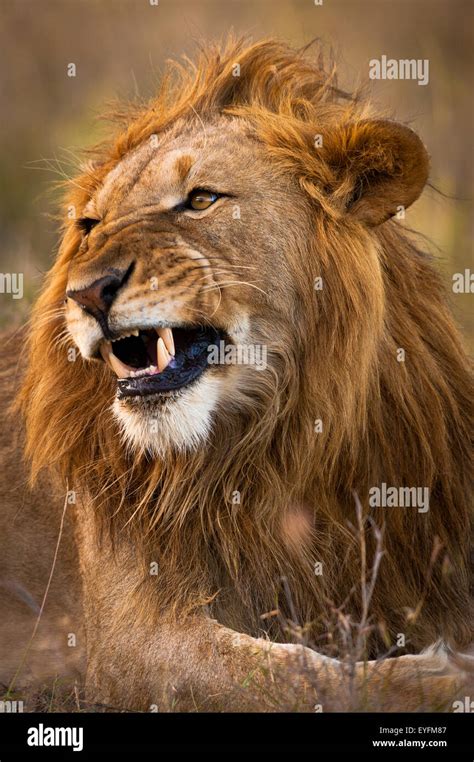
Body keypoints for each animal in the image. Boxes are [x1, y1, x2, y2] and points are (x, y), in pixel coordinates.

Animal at [0, 40, 474, 708]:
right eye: (89, 227)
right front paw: (435, 678)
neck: (274, 442)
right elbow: (285, 674)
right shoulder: (126, 641)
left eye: (201, 199)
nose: (85, 293)